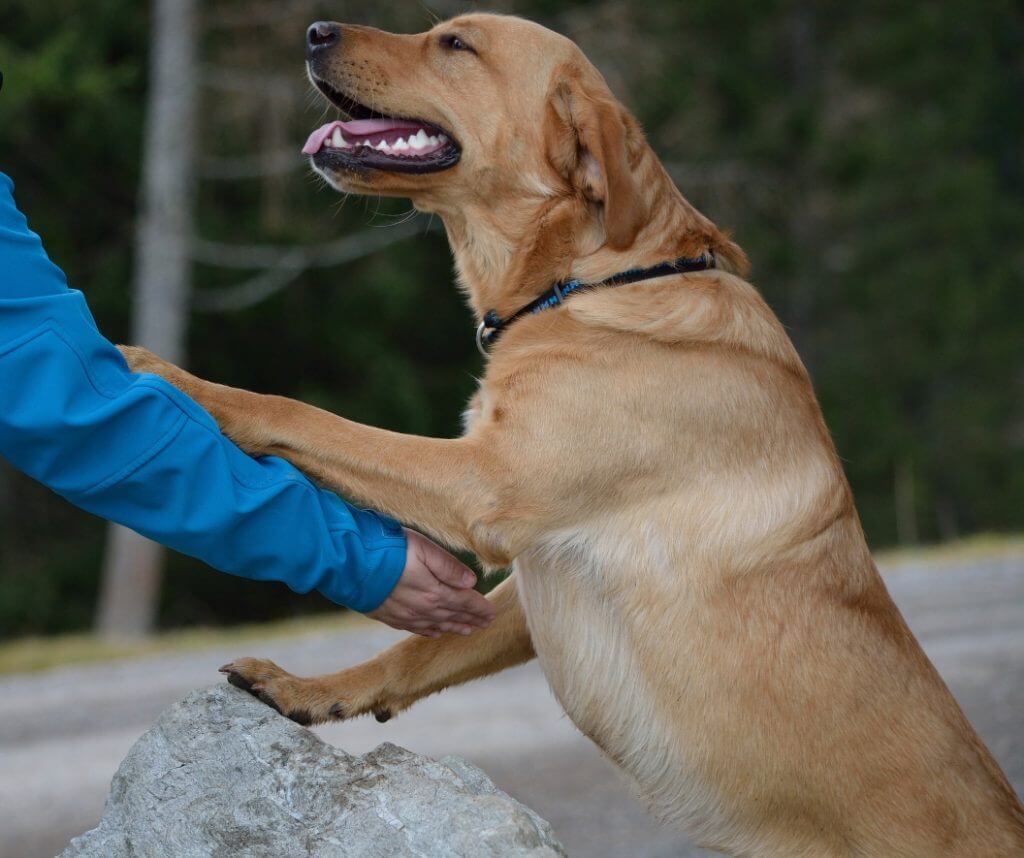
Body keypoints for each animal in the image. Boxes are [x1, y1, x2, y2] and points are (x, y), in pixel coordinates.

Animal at [121, 13, 1024, 858]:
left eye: (456, 44)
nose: (312, 30)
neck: (593, 279)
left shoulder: (483, 484)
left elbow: (294, 412)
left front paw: (169, 377)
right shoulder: (531, 571)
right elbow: (411, 655)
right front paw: (312, 690)